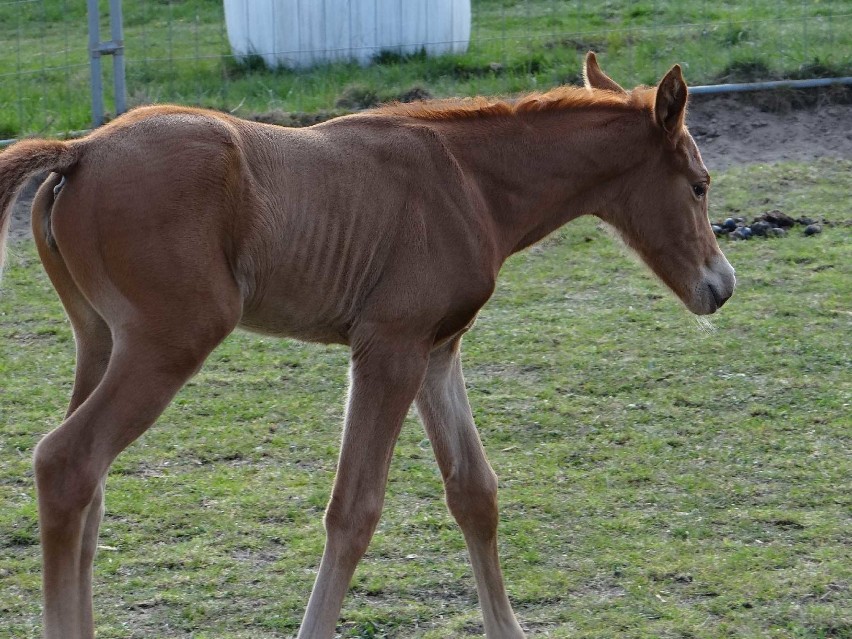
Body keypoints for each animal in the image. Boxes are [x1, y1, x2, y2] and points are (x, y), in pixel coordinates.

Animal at [0, 55, 732, 639]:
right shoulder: (390, 349)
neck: (469, 180)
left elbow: (474, 492)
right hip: (169, 342)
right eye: (699, 185)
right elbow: (354, 510)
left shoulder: (437, 351)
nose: (721, 286)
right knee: (67, 462)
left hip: (99, 342)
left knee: (88, 488)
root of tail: (79, 151)